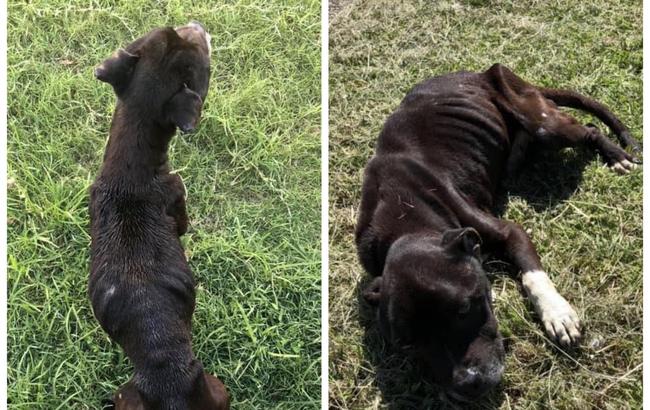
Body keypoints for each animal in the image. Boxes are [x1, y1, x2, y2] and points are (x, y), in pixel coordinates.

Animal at [86, 22, 228, 410]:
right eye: (203, 59)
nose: (197, 24)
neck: (130, 167)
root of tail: (169, 383)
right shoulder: (178, 197)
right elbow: (183, 226)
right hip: (219, 388)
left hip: (124, 395)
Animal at [354, 65, 636, 402]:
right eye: (407, 344)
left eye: (464, 309)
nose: (467, 386)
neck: (405, 223)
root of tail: (480, 73)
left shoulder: (509, 232)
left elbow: (533, 277)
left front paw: (556, 313)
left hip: (543, 123)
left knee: (589, 128)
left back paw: (614, 154)